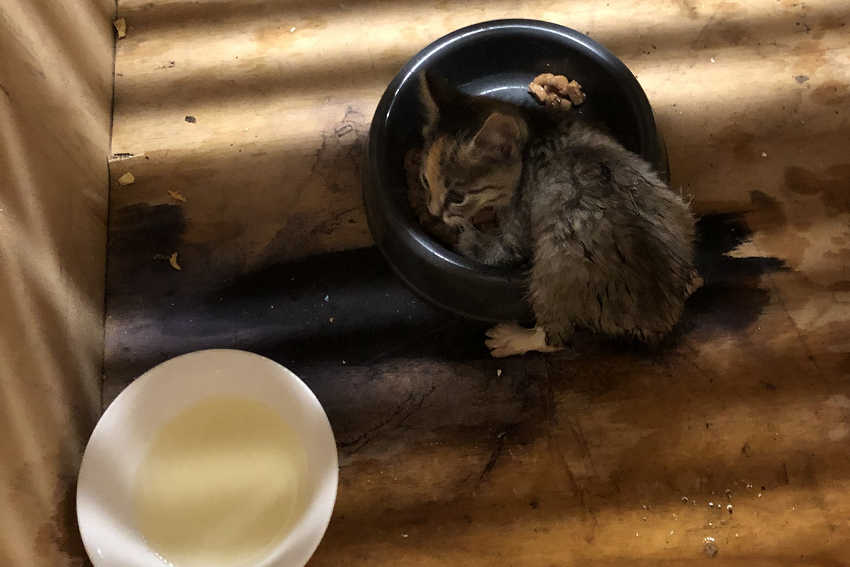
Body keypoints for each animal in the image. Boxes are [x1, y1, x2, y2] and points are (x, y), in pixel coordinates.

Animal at [414, 70, 700, 356]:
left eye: (457, 197)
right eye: (425, 182)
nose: (435, 213)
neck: (535, 131)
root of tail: (658, 312)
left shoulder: (517, 224)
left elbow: (492, 251)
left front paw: (464, 232)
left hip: (553, 265)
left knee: (556, 339)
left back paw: (511, 339)